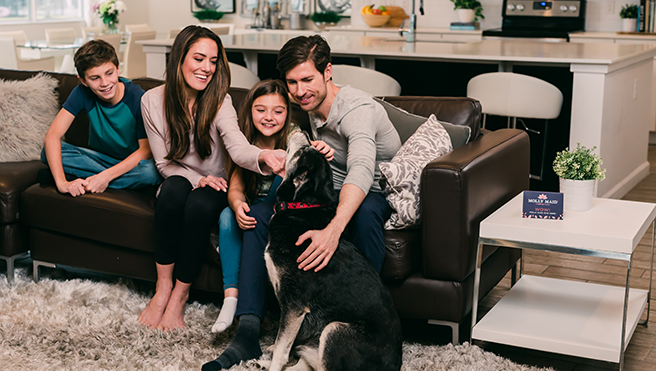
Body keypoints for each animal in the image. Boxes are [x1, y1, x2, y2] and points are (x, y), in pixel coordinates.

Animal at [264, 133, 402, 371]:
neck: (302, 208)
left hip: (334, 330)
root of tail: (395, 363)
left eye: (303, 151)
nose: (305, 134)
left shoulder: (294, 305)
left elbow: (282, 350)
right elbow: (284, 344)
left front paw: (274, 361)